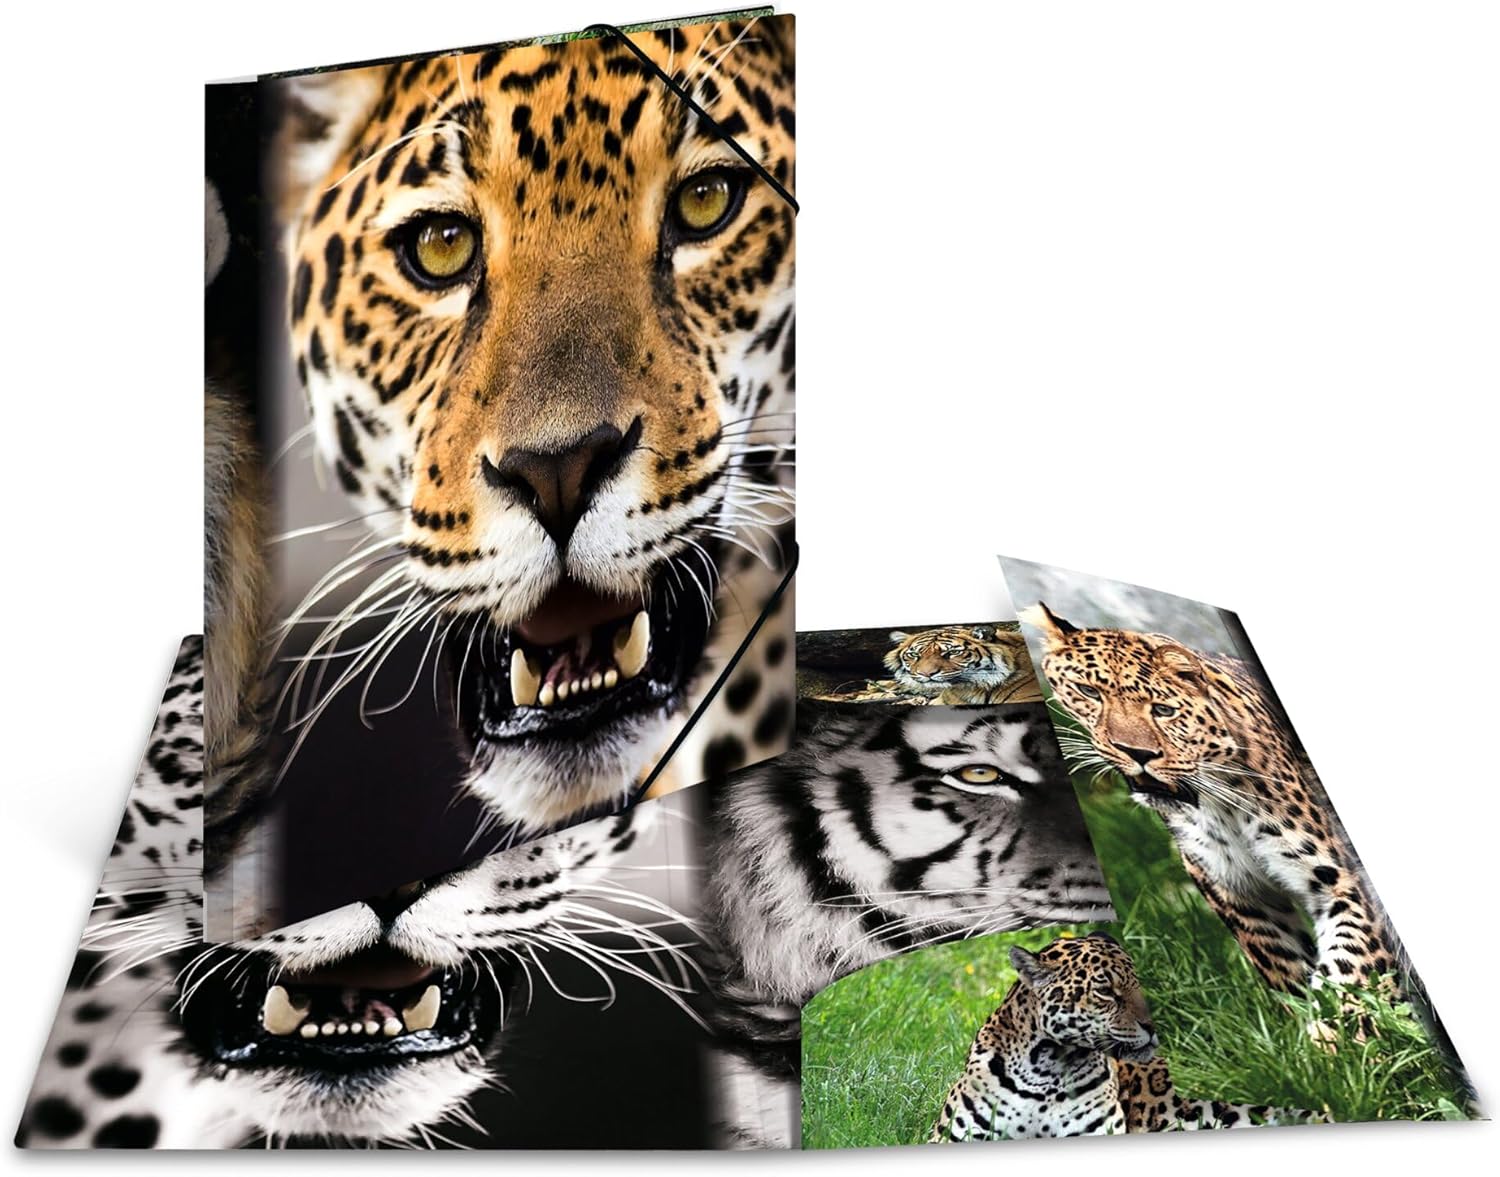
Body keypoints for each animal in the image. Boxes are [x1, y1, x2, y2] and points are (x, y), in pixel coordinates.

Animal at [1020, 603, 1401, 1001]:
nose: (1138, 753)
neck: (1220, 805)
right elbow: (1284, 967)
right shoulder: (1236, 891)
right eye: (1089, 692)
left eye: (1164, 710)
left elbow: (1355, 965)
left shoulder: (1339, 879)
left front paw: (1346, 1017)